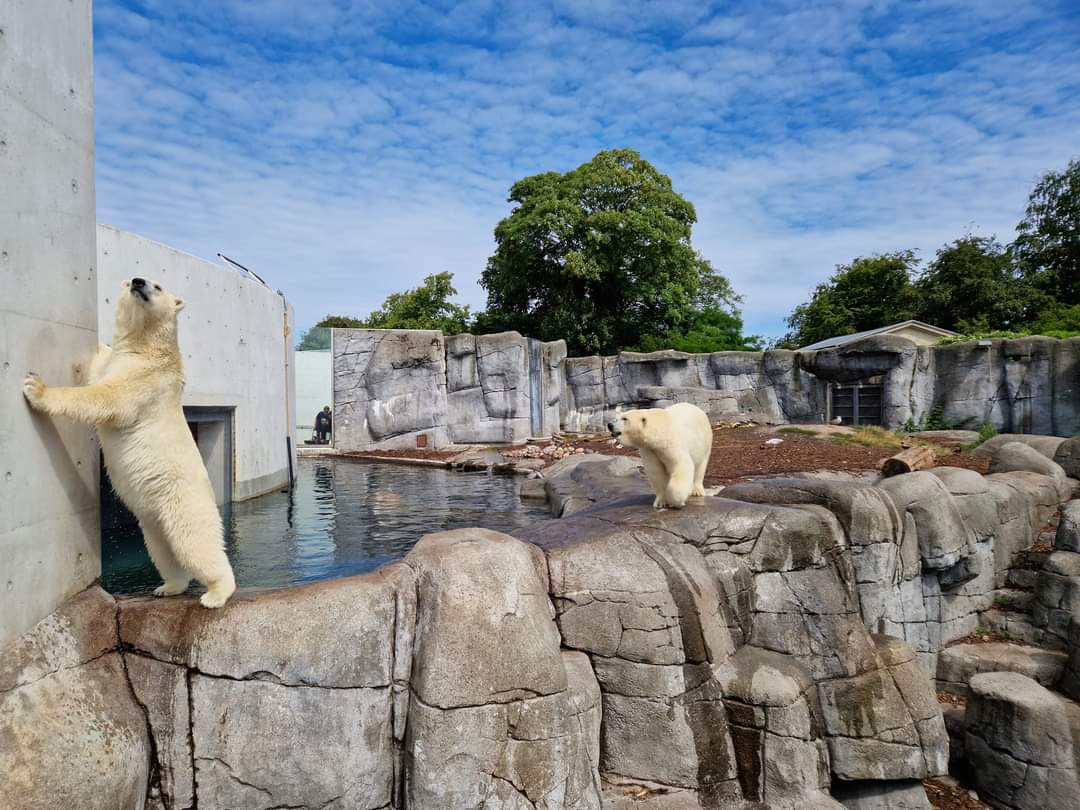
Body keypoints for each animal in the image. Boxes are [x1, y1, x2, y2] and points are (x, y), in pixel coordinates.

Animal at [23, 277, 236, 608]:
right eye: (131, 279)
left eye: (158, 286)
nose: (138, 282)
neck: (145, 347)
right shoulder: (117, 362)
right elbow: (99, 367)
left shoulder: (143, 378)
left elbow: (103, 398)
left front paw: (37, 388)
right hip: (153, 517)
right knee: (162, 549)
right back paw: (168, 586)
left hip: (185, 502)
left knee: (195, 543)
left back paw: (215, 594)